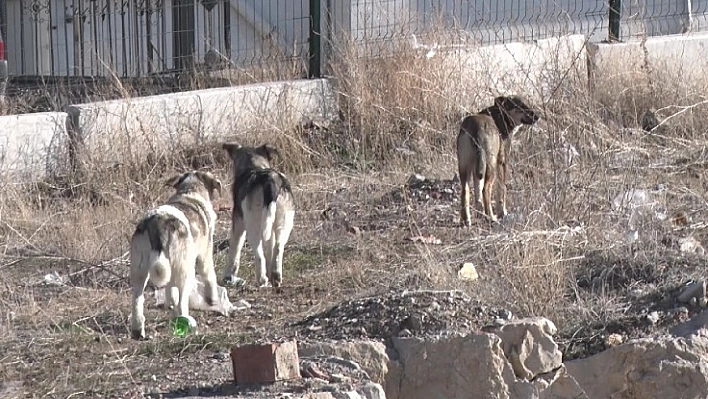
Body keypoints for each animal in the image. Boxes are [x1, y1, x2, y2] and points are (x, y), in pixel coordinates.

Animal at [129, 170, 221, 340]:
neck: (190, 192)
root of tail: (157, 223)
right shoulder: (204, 254)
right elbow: (209, 275)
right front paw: (212, 299)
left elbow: (170, 290)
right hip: (186, 270)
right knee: (182, 302)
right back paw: (186, 324)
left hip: (140, 270)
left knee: (137, 300)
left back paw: (138, 330)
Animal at [224, 142, 296, 290]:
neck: (254, 165)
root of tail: (269, 180)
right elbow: (270, 249)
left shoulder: (238, 224)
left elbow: (235, 250)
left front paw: (229, 276)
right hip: (284, 222)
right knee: (278, 247)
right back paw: (275, 277)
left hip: (253, 225)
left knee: (259, 254)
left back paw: (261, 280)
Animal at [456, 94, 540, 225]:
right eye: (519, 106)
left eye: (527, 103)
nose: (537, 116)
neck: (502, 116)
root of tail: (476, 127)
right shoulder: (502, 162)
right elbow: (502, 189)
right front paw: (502, 212)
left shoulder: (476, 167)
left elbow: (477, 191)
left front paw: (480, 213)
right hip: (491, 166)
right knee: (486, 190)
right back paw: (491, 217)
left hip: (465, 166)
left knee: (465, 190)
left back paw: (466, 219)